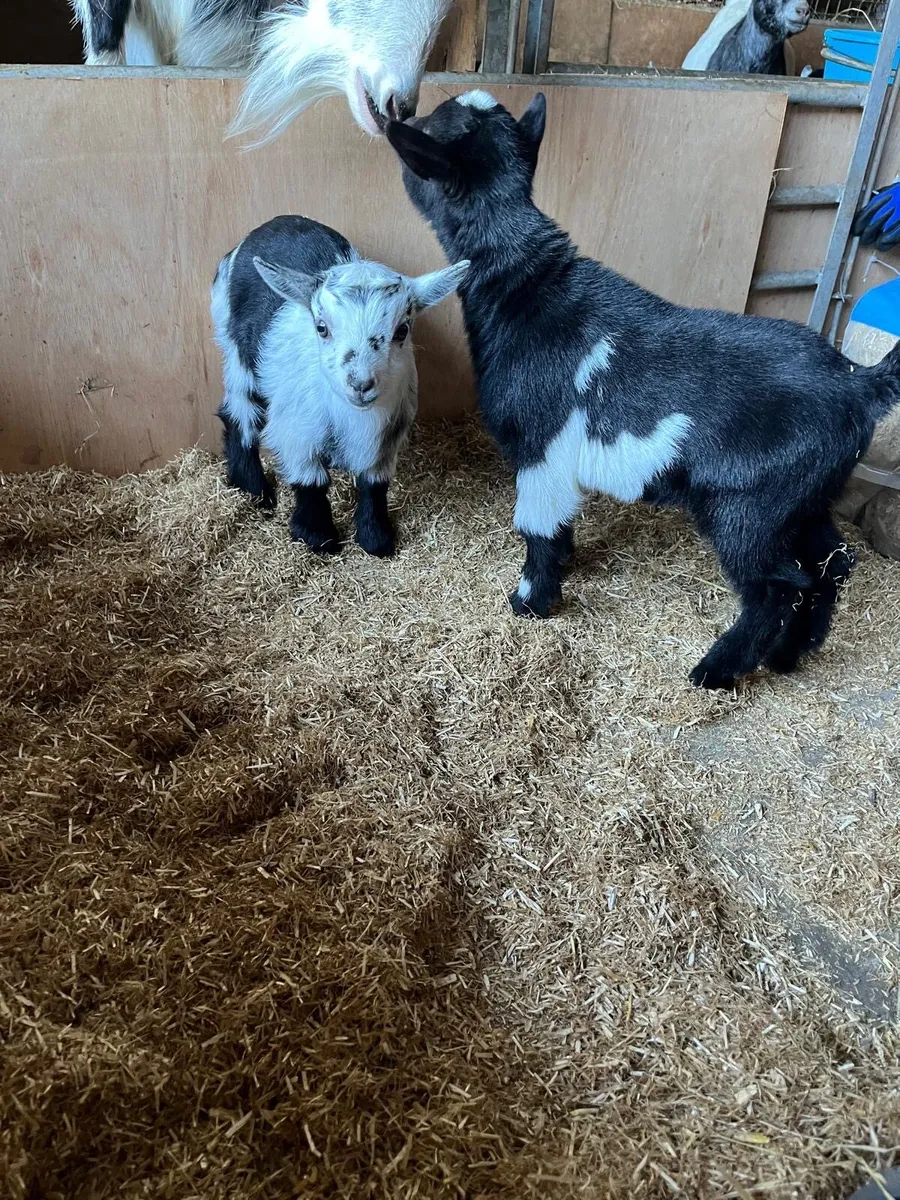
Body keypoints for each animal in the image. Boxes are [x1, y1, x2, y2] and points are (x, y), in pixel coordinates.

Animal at [211, 214, 467, 555]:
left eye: (402, 330)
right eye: (321, 328)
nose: (361, 384)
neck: (349, 416)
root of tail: (275, 223)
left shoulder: (387, 437)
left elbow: (374, 484)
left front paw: (376, 538)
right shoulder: (296, 431)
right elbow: (311, 482)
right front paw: (317, 535)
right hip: (235, 353)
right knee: (239, 414)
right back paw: (254, 490)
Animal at [386, 91, 900, 689]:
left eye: (428, 132)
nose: (398, 115)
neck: (527, 287)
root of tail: (860, 383)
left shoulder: (539, 445)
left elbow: (537, 526)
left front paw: (530, 602)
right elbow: (558, 522)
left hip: (752, 507)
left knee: (776, 587)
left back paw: (715, 671)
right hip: (807, 497)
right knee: (831, 565)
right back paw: (789, 655)